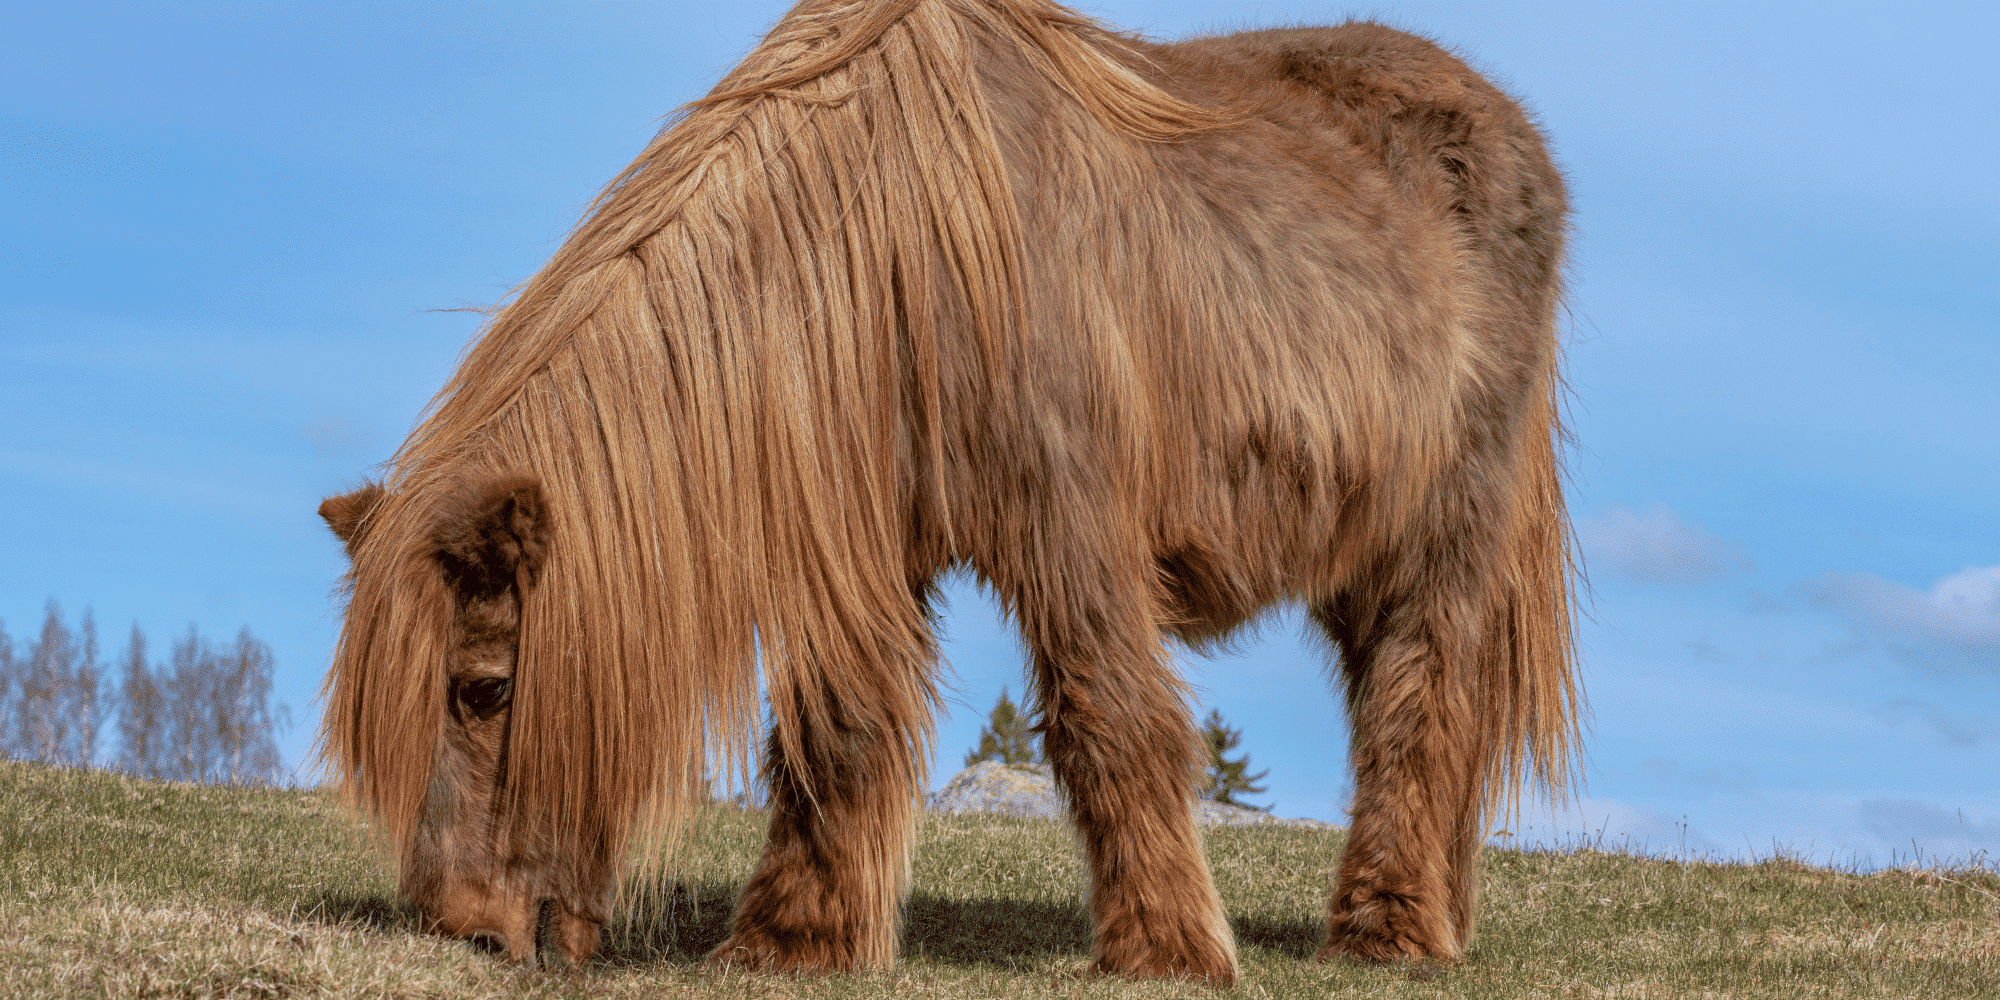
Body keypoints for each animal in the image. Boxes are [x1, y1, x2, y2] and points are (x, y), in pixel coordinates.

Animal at [316, 0, 1576, 984]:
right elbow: (835, 731)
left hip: (1442, 533)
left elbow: (1107, 717)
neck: (886, 254)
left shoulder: (1065, 524)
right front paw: (793, 942)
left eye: (483, 688)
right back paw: (1435, 917)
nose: (457, 926)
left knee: (1420, 701)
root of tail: (1515, 138)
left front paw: (1165, 950)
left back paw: (1384, 931)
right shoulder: (866, 546)